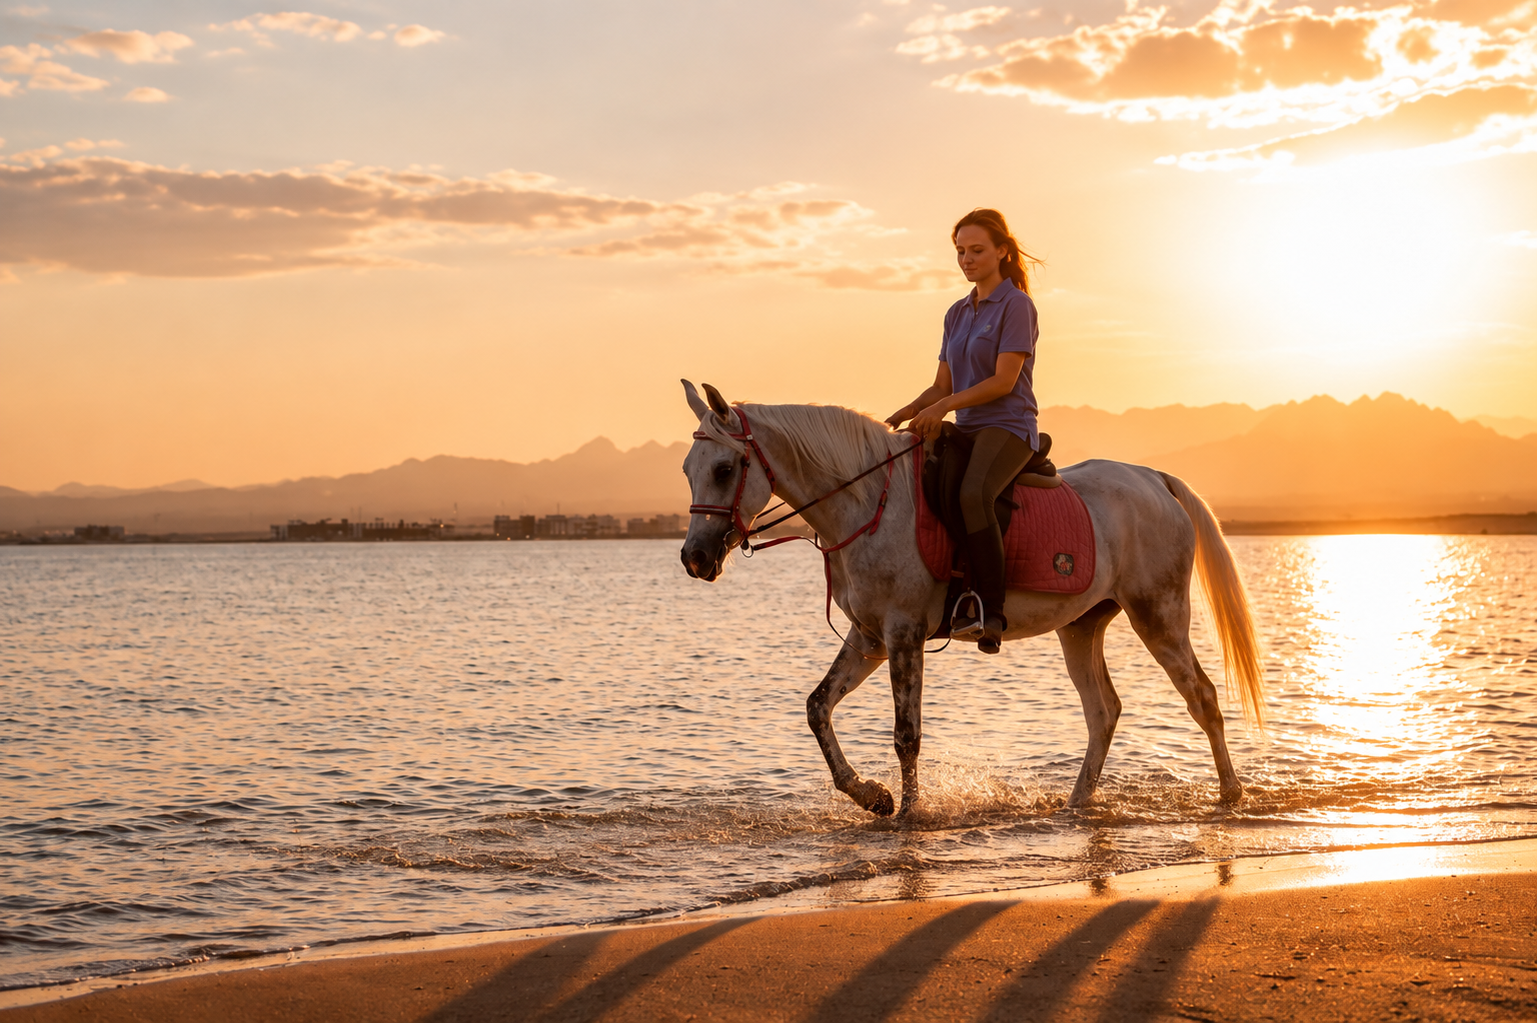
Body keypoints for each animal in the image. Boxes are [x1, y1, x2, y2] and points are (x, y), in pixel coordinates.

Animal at [678, 380, 1264, 818]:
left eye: (725, 469)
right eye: (688, 469)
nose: (695, 558)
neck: (864, 503)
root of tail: (1154, 480)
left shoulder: (903, 633)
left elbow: (906, 735)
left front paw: (910, 815)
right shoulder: (870, 637)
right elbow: (818, 708)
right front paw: (872, 797)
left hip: (1158, 614)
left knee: (1201, 696)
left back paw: (1230, 795)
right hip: (1081, 625)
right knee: (1103, 711)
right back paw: (1076, 804)